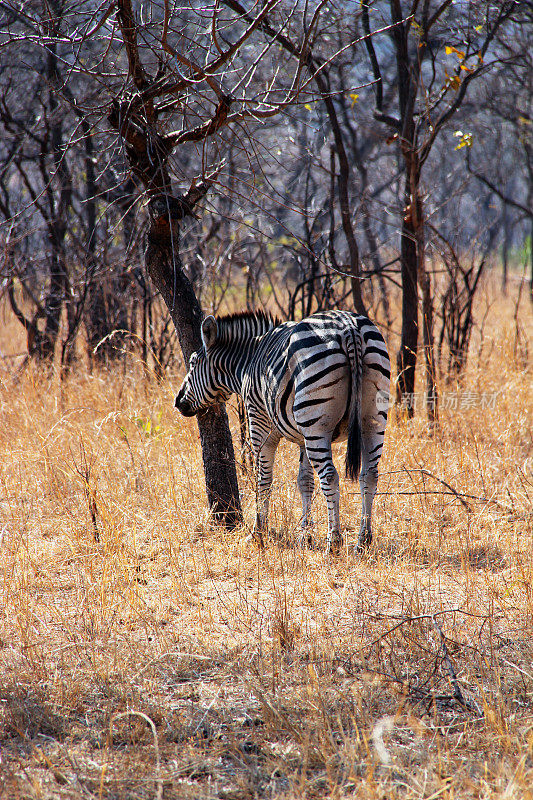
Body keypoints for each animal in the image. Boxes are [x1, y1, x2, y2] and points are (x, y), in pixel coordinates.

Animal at [177, 310, 388, 552]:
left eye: (193, 363)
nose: (178, 402)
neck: (248, 360)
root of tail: (349, 327)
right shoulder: (302, 438)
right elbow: (305, 481)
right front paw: (305, 536)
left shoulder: (260, 423)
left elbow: (262, 477)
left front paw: (258, 533)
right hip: (372, 419)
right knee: (369, 474)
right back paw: (363, 540)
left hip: (317, 425)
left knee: (329, 476)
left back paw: (333, 543)